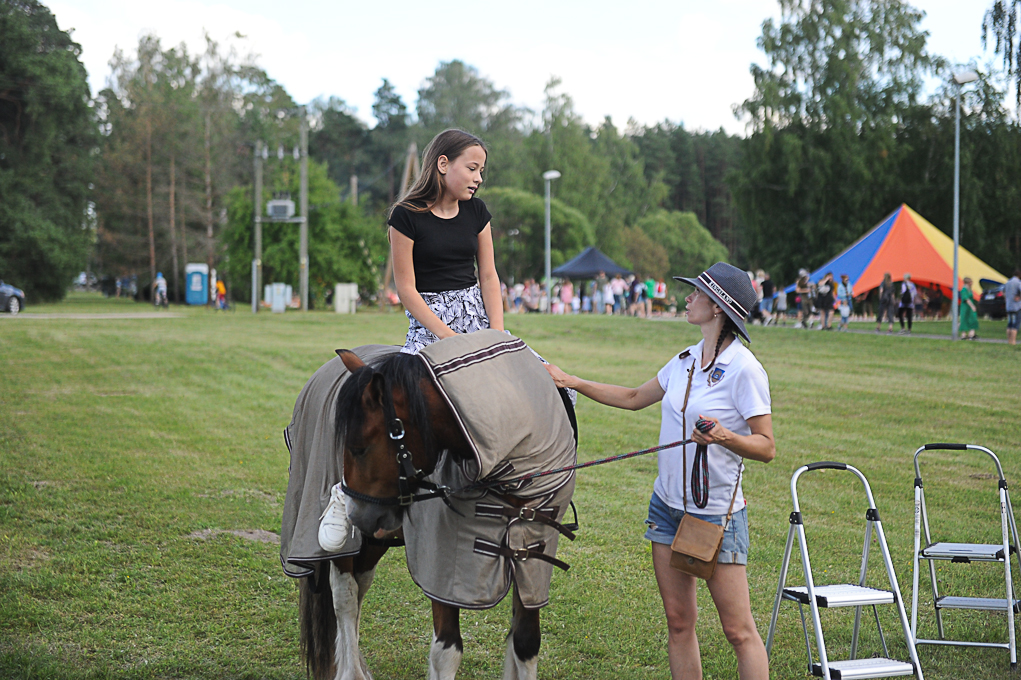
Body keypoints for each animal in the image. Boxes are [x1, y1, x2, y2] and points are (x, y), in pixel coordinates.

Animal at [288, 330, 577, 680]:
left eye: (358, 448)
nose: (356, 514)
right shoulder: (443, 567)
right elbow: (447, 651)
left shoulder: (532, 559)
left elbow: (525, 642)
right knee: (344, 594)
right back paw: (349, 671)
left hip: (377, 538)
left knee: (360, 583)